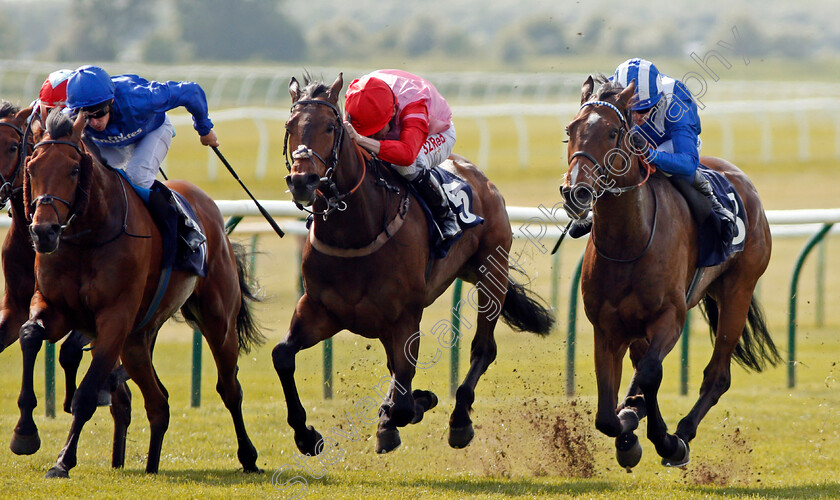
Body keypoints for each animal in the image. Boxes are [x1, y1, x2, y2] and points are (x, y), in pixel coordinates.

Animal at [17, 108, 266, 476]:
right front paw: (24, 432)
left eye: (74, 169)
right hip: (137, 341)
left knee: (229, 387)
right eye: (31, 168)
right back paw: (150, 465)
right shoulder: (57, 307)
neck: (87, 238)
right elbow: (30, 334)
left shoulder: (115, 319)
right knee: (158, 401)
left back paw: (248, 456)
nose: (43, 232)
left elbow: (86, 394)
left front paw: (62, 461)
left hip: (217, 321)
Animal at [272, 72, 556, 456]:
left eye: (331, 127)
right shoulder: (321, 309)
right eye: (290, 127)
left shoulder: (405, 316)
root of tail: (480, 177)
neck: (355, 231)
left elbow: (404, 398)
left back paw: (459, 420)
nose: (303, 181)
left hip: (491, 271)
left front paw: (407, 409)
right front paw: (306, 434)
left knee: (483, 348)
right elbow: (282, 355)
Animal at [560, 76, 784, 470]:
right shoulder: (606, 327)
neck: (629, 242)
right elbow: (606, 415)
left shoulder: (670, 316)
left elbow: (651, 372)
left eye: (613, 132)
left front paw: (665, 441)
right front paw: (628, 428)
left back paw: (681, 431)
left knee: (717, 375)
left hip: (738, 289)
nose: (576, 191)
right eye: (571, 129)